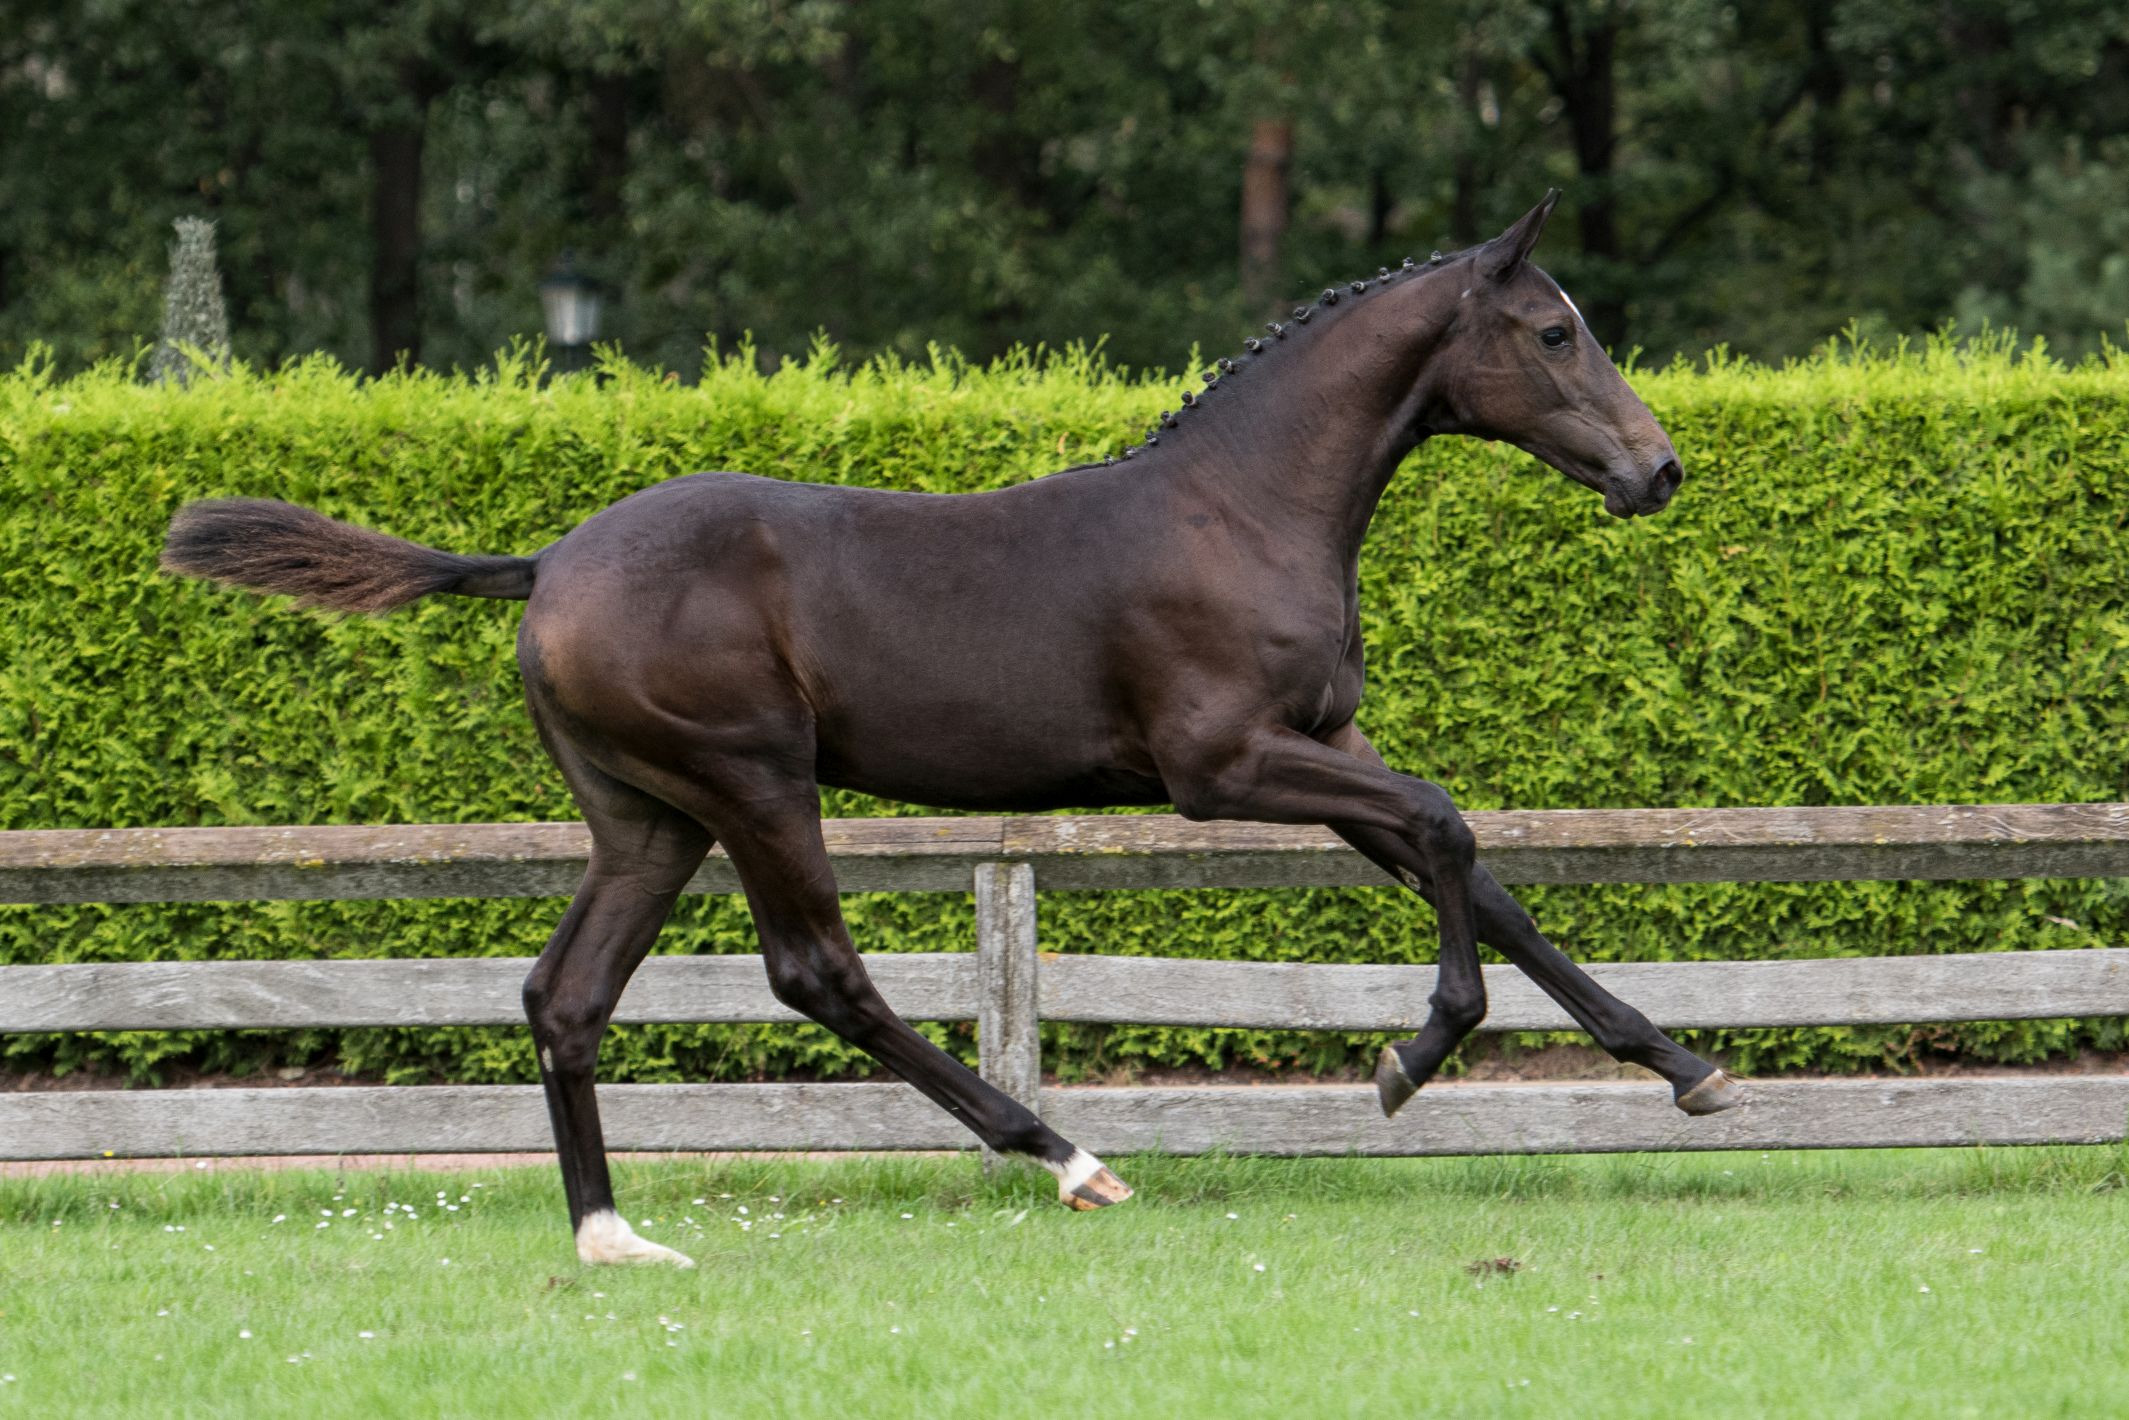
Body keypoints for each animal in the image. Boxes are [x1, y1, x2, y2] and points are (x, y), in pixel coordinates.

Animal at [162, 191, 1740, 1268]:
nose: (1658, 469)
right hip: (752, 781)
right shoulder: (1219, 766)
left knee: (567, 995)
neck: (1240, 508)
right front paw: (1413, 1059)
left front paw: (1687, 1071)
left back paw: (611, 1237)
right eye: (1553, 331)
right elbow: (1445, 823)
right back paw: (1065, 1156)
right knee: (816, 972)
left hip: (647, 815)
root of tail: (545, 567)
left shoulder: (1319, 751)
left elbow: (1475, 868)